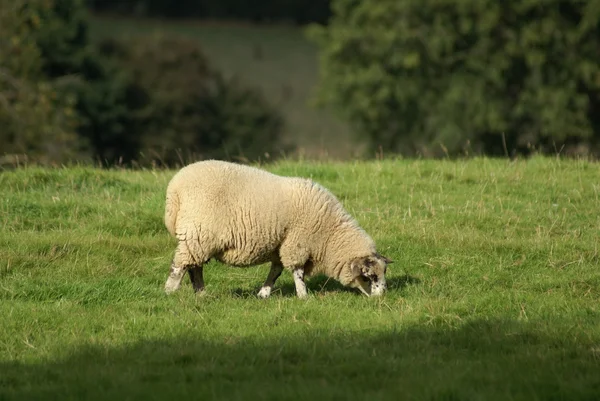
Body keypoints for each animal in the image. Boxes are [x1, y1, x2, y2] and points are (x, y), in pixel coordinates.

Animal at [163, 159, 394, 296]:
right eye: (370, 276)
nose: (381, 297)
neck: (330, 235)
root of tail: (175, 188)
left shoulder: (280, 245)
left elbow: (275, 271)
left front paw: (263, 294)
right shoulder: (297, 243)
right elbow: (297, 271)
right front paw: (303, 296)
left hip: (198, 237)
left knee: (195, 266)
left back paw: (201, 294)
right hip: (199, 233)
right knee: (181, 265)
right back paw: (170, 291)